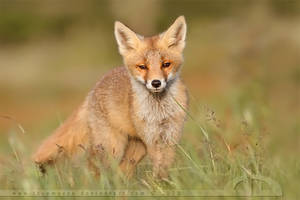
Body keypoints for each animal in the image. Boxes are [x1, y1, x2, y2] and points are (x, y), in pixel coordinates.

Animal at [32, 15, 188, 178]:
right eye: (142, 67)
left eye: (166, 64)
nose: (156, 83)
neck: (159, 112)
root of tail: (95, 87)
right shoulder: (151, 139)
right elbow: (158, 166)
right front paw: (159, 183)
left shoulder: (171, 136)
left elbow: (164, 167)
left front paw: (165, 183)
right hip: (112, 147)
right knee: (94, 165)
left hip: (136, 148)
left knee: (121, 170)